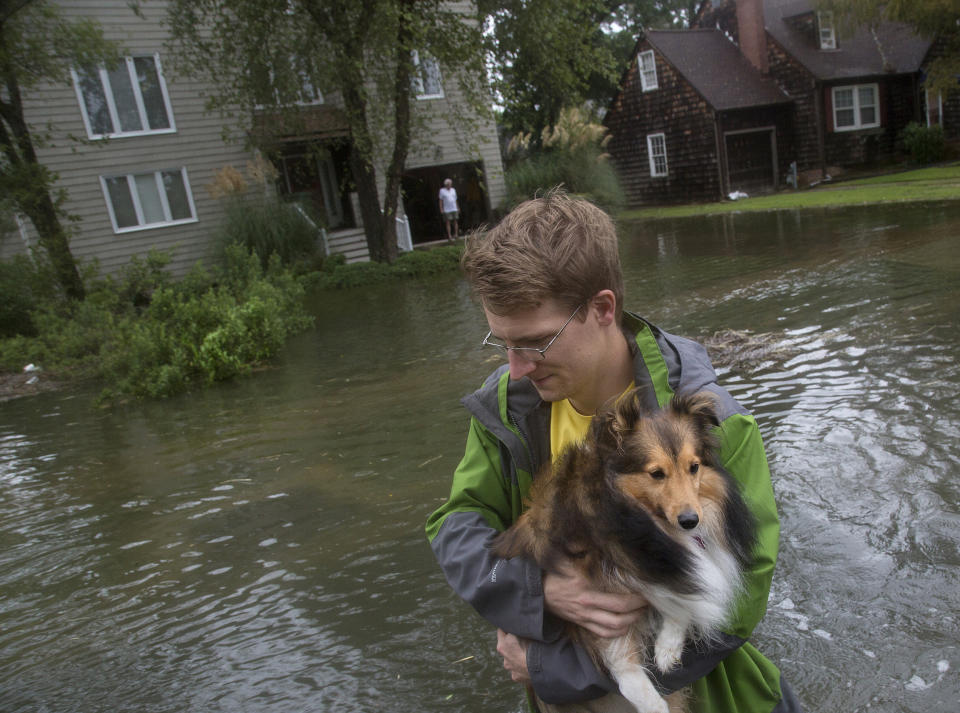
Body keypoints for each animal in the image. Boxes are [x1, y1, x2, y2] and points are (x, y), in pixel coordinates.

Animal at [496, 390, 756, 712]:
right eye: (656, 473)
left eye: (694, 467)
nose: (690, 521)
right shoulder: (605, 597)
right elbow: (627, 671)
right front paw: (655, 701)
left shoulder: (663, 572)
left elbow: (682, 597)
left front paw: (667, 648)